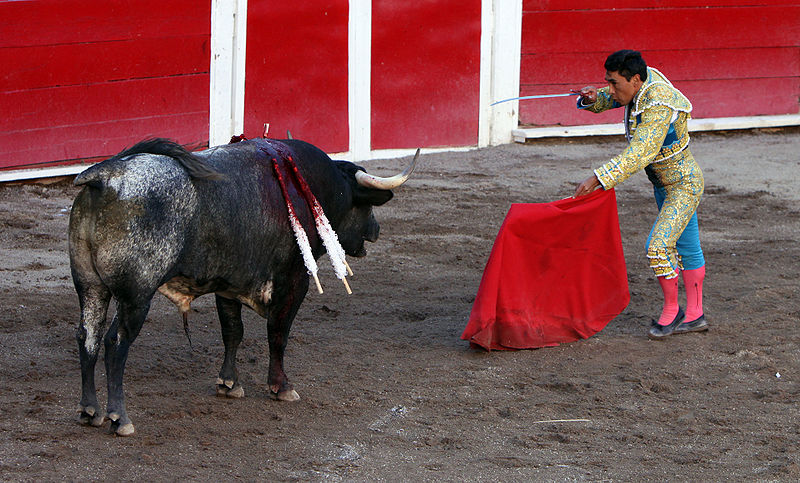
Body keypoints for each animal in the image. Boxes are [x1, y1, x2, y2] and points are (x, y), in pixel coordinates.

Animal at [69, 138, 418, 436]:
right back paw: (120, 417)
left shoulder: (227, 286)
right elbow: (278, 334)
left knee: (88, 336)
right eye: (363, 204)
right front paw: (281, 387)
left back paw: (90, 411)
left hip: (90, 286)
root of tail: (107, 176)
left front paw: (229, 384)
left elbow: (232, 332)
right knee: (115, 342)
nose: (376, 230)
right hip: (136, 296)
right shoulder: (294, 281)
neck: (309, 187)